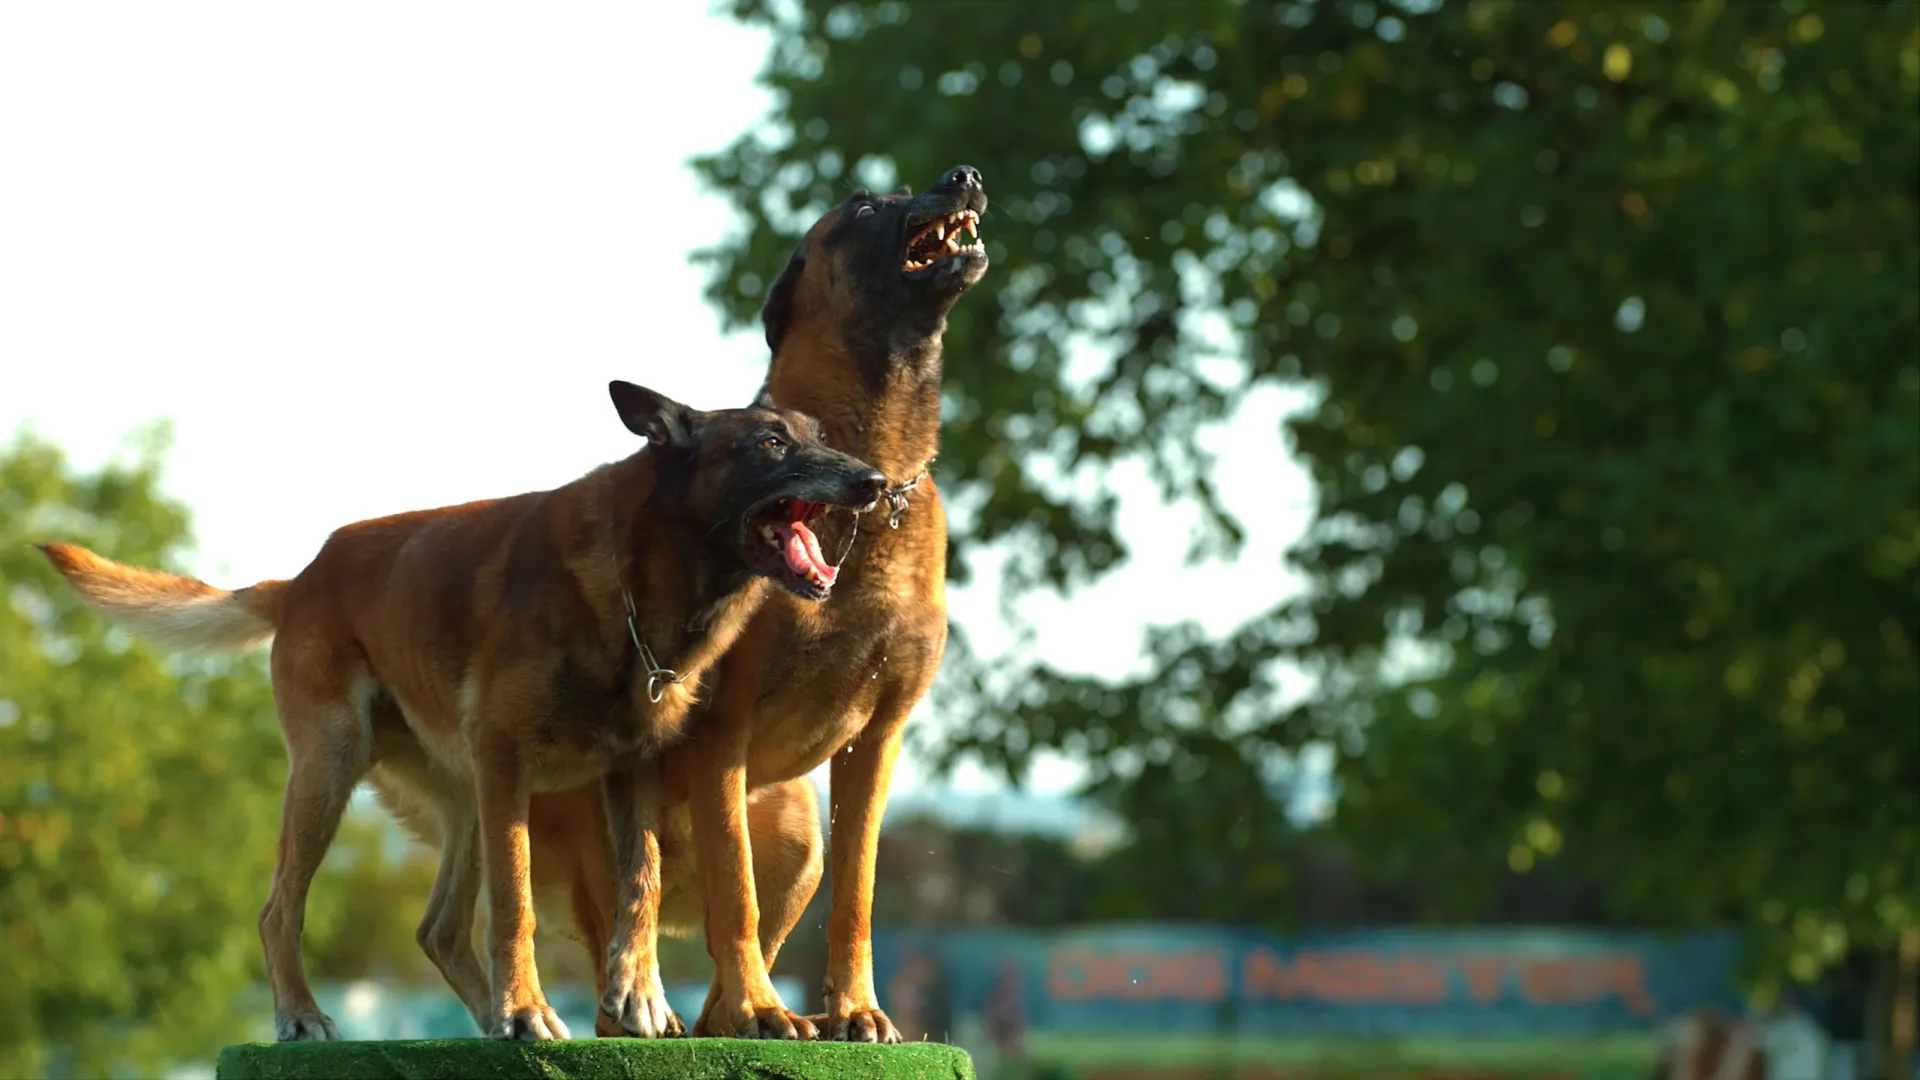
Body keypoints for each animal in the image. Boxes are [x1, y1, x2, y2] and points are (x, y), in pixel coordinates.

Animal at [35, 382, 890, 1037]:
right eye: (770, 445)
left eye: (819, 437)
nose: (876, 483)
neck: (639, 581)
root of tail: (306, 575)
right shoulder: (507, 758)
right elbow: (516, 906)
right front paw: (526, 1009)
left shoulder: (630, 773)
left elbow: (639, 885)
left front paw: (637, 995)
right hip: (335, 770)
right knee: (280, 910)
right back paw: (307, 1015)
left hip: (466, 799)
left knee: (438, 930)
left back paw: (489, 1024)